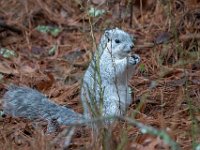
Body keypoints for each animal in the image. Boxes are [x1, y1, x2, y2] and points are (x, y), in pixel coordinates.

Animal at [1, 27, 140, 131]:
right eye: (117, 41)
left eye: (129, 36)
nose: (132, 46)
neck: (116, 55)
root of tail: (89, 119)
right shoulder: (104, 64)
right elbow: (113, 70)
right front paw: (128, 60)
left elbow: (126, 75)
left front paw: (136, 58)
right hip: (109, 105)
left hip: (126, 97)